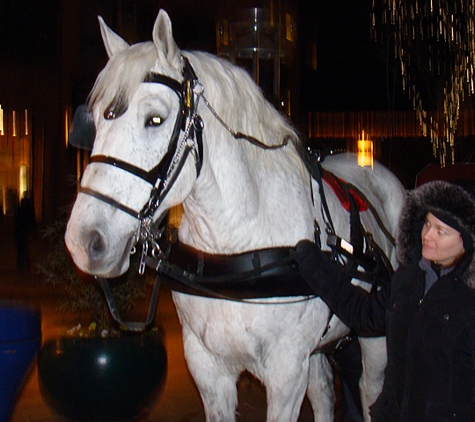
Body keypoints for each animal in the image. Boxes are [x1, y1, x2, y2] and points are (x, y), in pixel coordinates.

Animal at [65, 10, 408, 422]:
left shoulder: (286, 371)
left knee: (371, 391)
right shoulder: (207, 366)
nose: (84, 241)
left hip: (374, 337)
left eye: (155, 119)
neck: (234, 244)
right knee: (324, 392)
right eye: (97, 123)